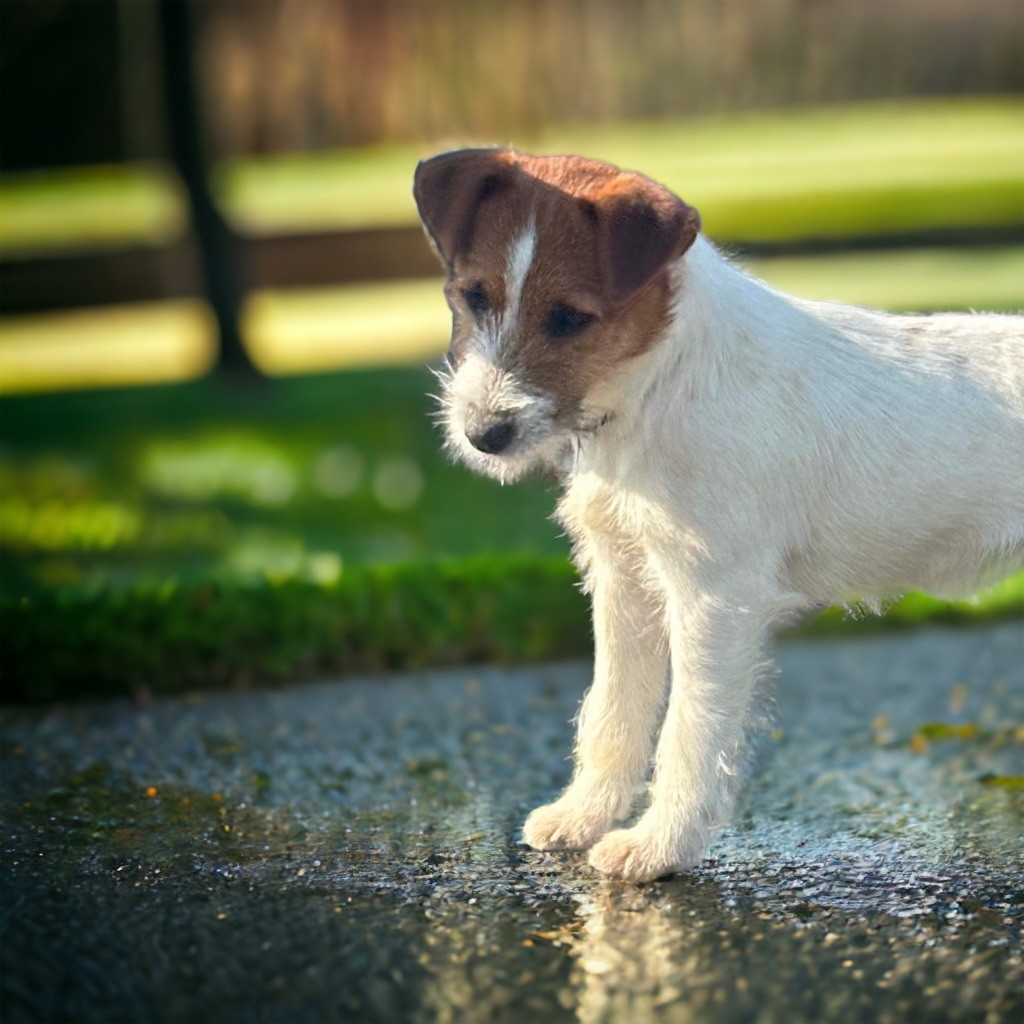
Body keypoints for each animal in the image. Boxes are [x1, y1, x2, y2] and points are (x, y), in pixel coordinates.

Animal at [409, 146, 1024, 880]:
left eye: (569, 318)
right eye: (476, 296)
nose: (484, 435)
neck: (656, 382)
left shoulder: (714, 598)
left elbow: (689, 727)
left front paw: (656, 847)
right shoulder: (624, 581)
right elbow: (612, 710)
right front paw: (582, 817)